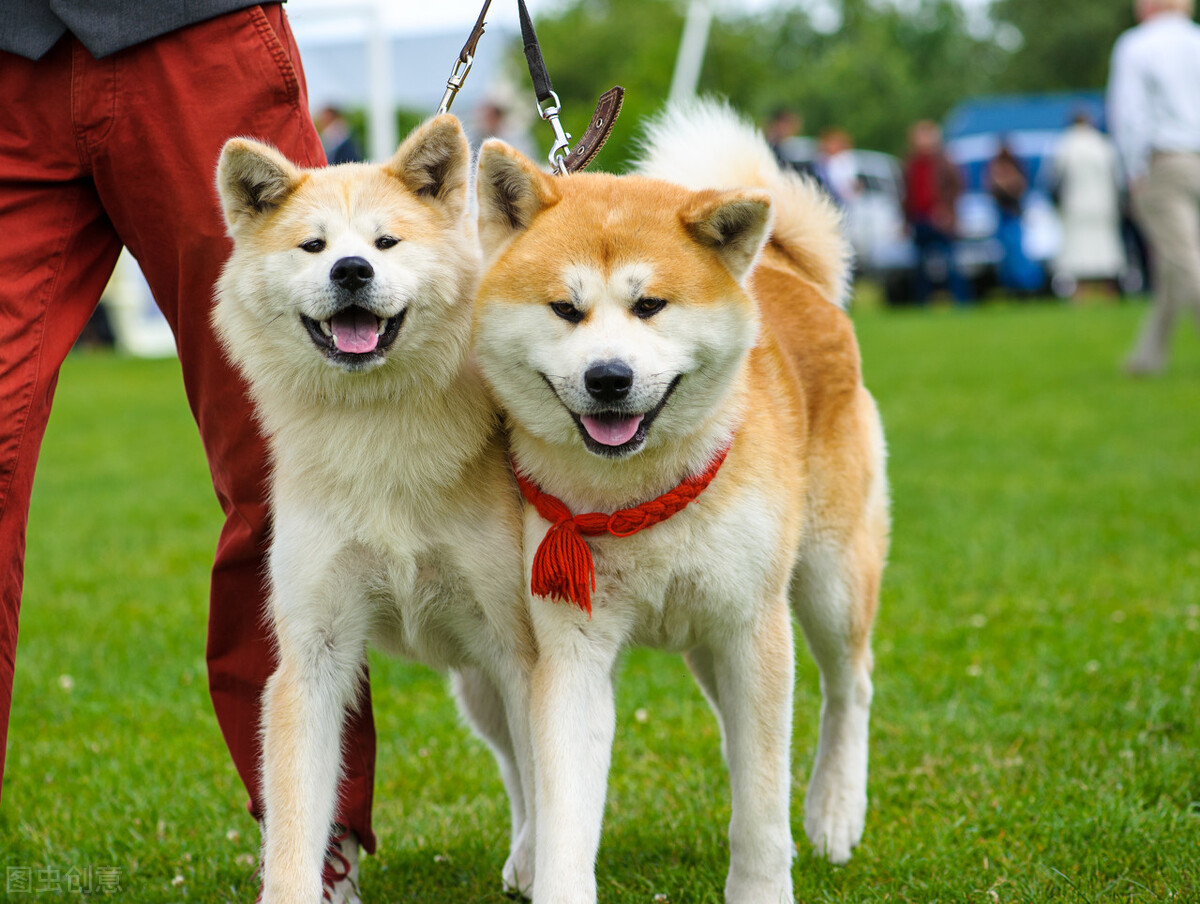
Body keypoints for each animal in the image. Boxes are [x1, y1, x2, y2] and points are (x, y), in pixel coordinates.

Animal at [213, 116, 537, 902]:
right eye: (314, 246)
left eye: (387, 243)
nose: (352, 271)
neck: (376, 430)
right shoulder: (313, 653)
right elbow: (297, 813)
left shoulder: (519, 643)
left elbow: (557, 780)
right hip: (477, 686)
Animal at [472, 100, 888, 902]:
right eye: (565, 309)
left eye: (651, 305)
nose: (608, 377)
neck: (638, 493)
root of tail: (788, 271)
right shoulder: (571, 648)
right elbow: (566, 808)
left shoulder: (753, 626)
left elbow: (761, 807)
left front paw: (761, 886)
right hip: (708, 638)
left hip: (825, 575)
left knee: (849, 686)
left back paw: (833, 810)